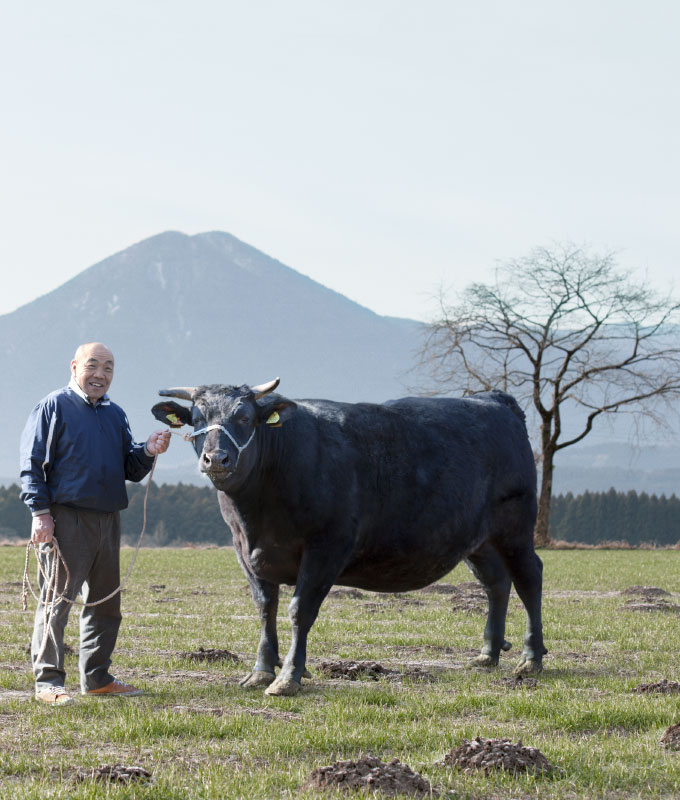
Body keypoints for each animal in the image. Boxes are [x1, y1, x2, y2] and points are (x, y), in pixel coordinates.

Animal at [151, 380, 544, 692]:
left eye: (245, 417)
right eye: (197, 419)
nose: (216, 458)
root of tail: (493, 399)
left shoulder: (327, 545)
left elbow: (299, 609)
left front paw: (289, 677)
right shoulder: (244, 549)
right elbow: (265, 608)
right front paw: (261, 671)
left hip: (516, 528)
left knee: (529, 578)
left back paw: (531, 658)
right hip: (477, 539)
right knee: (496, 583)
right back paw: (487, 654)